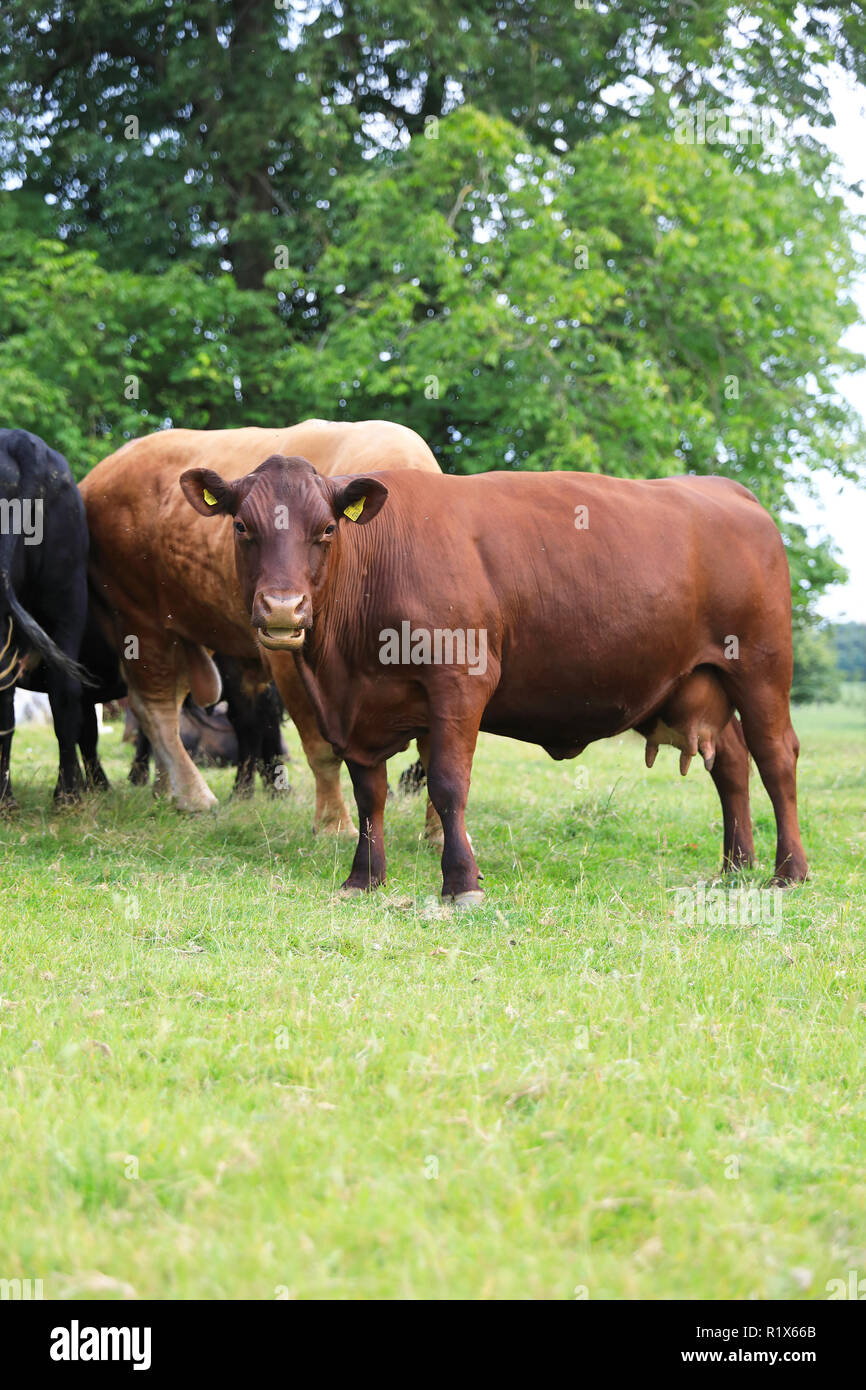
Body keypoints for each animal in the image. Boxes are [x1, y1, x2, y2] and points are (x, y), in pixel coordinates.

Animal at [79, 421, 443, 838]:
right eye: (240, 525)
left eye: (328, 528)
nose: (282, 607)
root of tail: (101, 473)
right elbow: (321, 748)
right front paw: (334, 825)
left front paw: (439, 832)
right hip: (140, 621)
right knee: (155, 707)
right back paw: (192, 794)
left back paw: (165, 789)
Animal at [179, 457, 808, 904]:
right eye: (242, 526)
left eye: (327, 528)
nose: (283, 609)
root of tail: (727, 489)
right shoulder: (355, 712)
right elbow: (368, 794)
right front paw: (364, 879)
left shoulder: (459, 683)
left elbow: (448, 785)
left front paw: (461, 883)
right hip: (699, 682)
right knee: (730, 761)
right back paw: (735, 865)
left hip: (760, 667)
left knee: (776, 757)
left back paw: (788, 872)